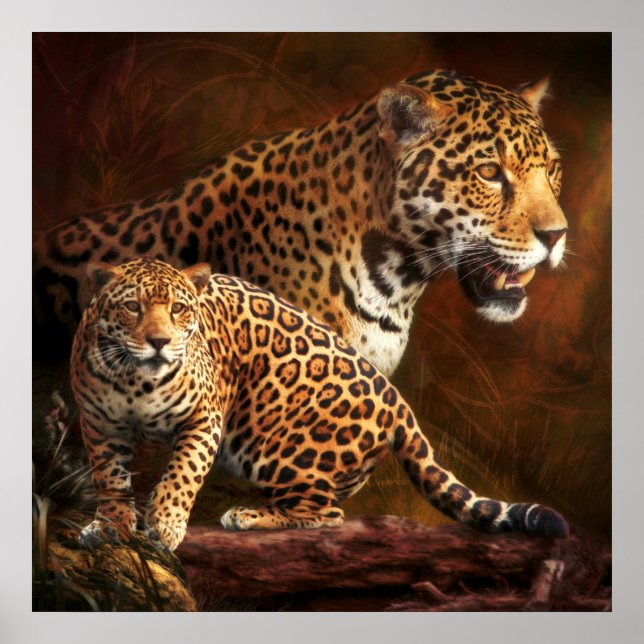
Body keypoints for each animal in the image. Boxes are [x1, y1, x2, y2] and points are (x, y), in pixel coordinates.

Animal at [71, 257, 569, 551]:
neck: (136, 380)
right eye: (133, 308)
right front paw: (111, 528)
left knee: (326, 514)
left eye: (178, 309)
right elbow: (110, 480)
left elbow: (181, 475)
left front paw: (166, 526)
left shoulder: (203, 418)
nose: (159, 342)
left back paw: (248, 515)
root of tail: (397, 399)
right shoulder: (99, 425)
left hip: (276, 446)